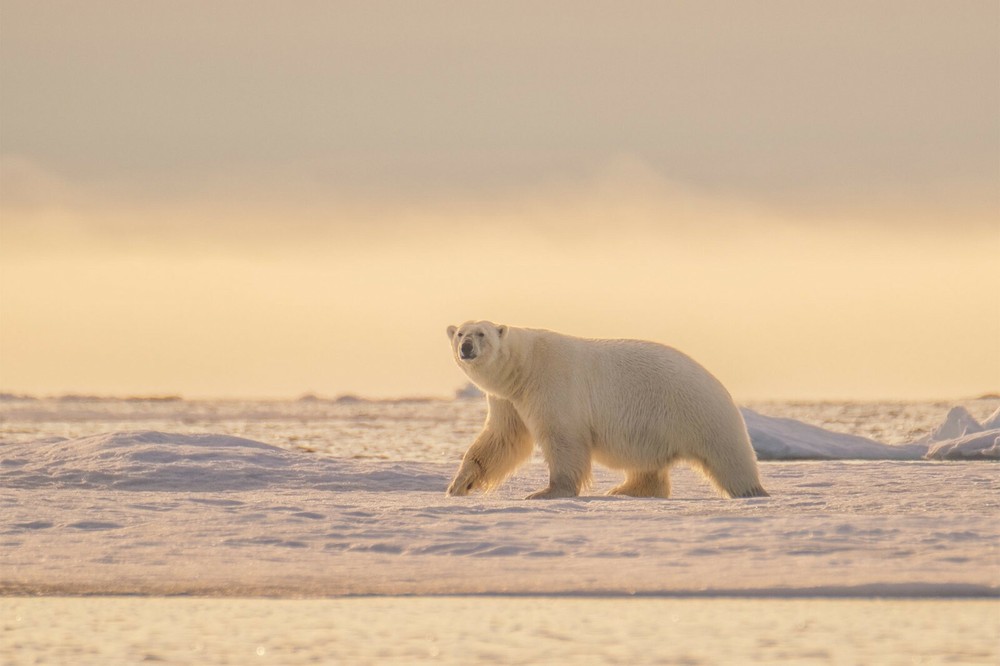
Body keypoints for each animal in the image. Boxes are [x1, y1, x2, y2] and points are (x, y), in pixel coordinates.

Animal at [445, 321, 768, 500]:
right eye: (459, 332)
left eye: (481, 333)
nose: (466, 346)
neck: (524, 367)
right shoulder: (509, 399)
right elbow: (502, 439)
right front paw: (459, 485)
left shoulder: (552, 382)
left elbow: (562, 437)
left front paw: (546, 492)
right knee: (646, 466)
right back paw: (625, 489)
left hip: (698, 411)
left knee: (728, 456)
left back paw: (753, 491)